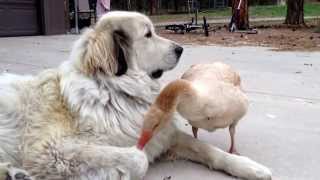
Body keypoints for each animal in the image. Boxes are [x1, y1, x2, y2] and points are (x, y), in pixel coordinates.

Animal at [0, 11, 272, 180]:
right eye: (148, 34)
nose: (181, 49)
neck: (115, 91)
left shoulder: (166, 136)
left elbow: (209, 150)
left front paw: (249, 167)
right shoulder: (51, 148)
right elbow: (137, 157)